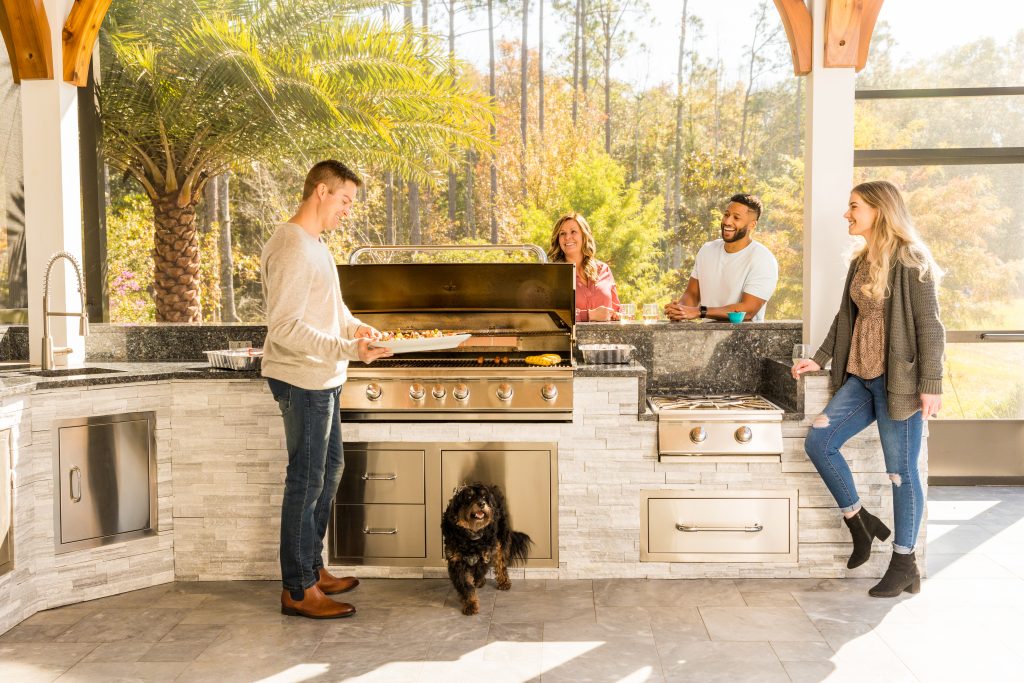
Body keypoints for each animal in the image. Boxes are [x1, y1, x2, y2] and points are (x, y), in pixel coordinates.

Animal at [440, 483, 532, 618]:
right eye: (469, 497)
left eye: (484, 497)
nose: (482, 504)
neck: (471, 535)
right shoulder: (456, 560)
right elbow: (466, 585)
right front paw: (470, 605)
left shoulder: (486, 552)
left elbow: (481, 569)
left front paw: (478, 582)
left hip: (500, 540)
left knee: (500, 563)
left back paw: (503, 581)